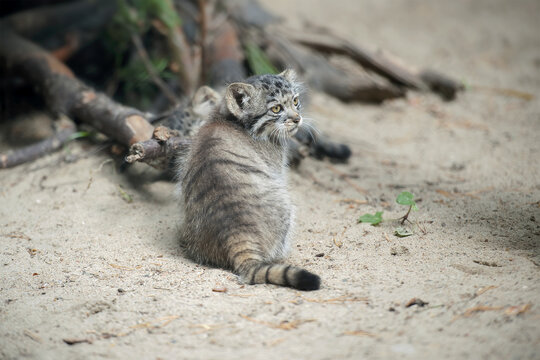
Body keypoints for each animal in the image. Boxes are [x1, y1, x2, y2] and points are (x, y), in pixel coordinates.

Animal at [177, 69, 320, 290]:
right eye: (277, 108)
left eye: (295, 101)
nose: (297, 119)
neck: (228, 118)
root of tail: (236, 232)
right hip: (286, 208)